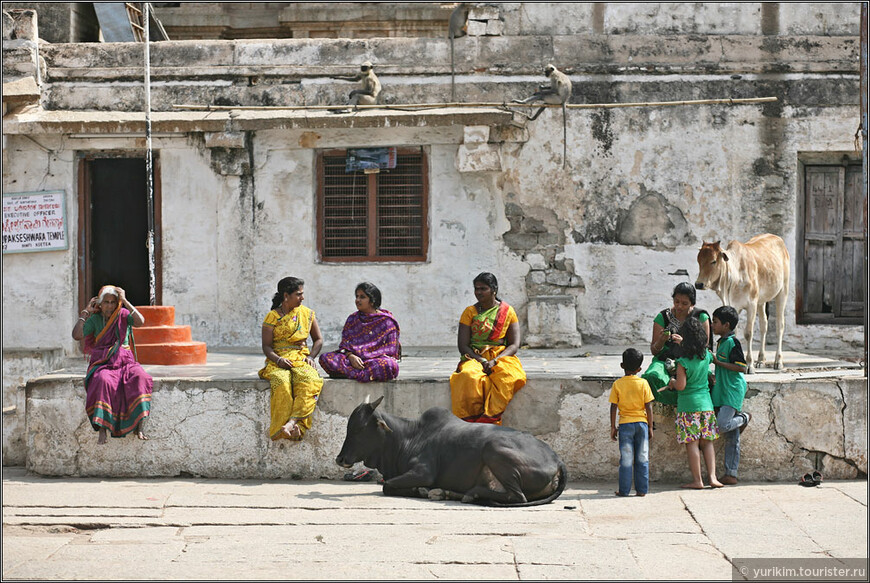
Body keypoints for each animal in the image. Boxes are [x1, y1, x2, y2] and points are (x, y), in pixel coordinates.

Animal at [336, 396, 572, 506]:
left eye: (358, 428)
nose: (340, 459)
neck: (406, 438)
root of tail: (558, 460)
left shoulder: (423, 472)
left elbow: (387, 485)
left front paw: (420, 490)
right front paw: (426, 491)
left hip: (494, 449)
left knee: (517, 497)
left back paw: (470, 493)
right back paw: (444, 492)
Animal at [700, 235, 792, 372]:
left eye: (713, 261)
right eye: (698, 260)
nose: (698, 284)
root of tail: (776, 238)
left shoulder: (751, 305)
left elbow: (748, 333)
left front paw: (749, 364)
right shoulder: (734, 306)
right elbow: (734, 331)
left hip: (782, 292)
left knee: (779, 326)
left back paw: (778, 361)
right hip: (761, 301)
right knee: (764, 325)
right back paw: (761, 360)